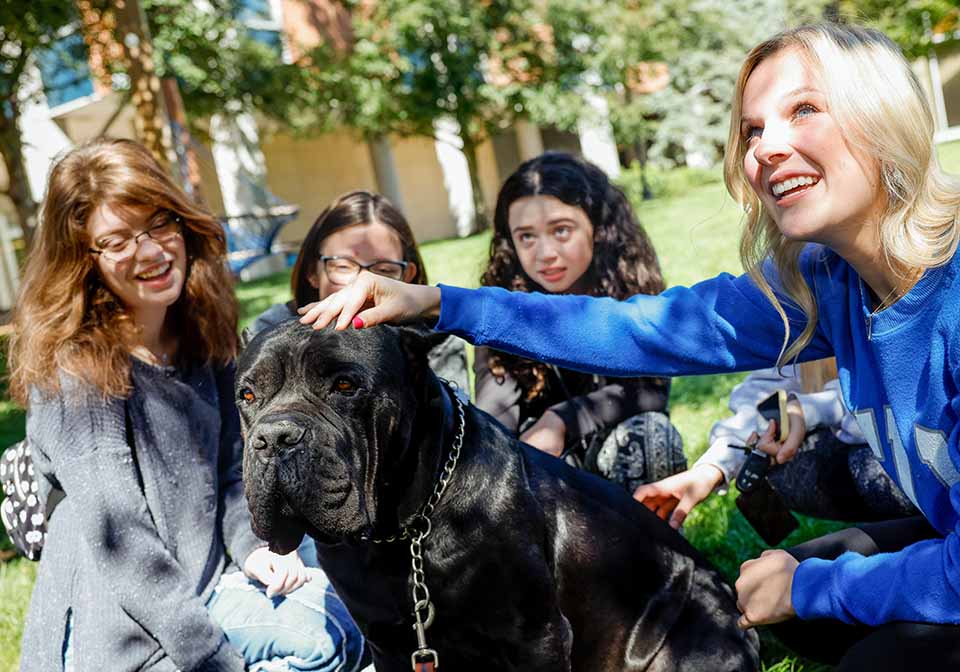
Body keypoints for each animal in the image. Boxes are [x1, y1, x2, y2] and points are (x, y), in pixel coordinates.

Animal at [238, 322, 756, 668]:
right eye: (246, 396)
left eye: (345, 385)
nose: (275, 438)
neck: (403, 531)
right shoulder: (389, 645)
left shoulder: (536, 639)